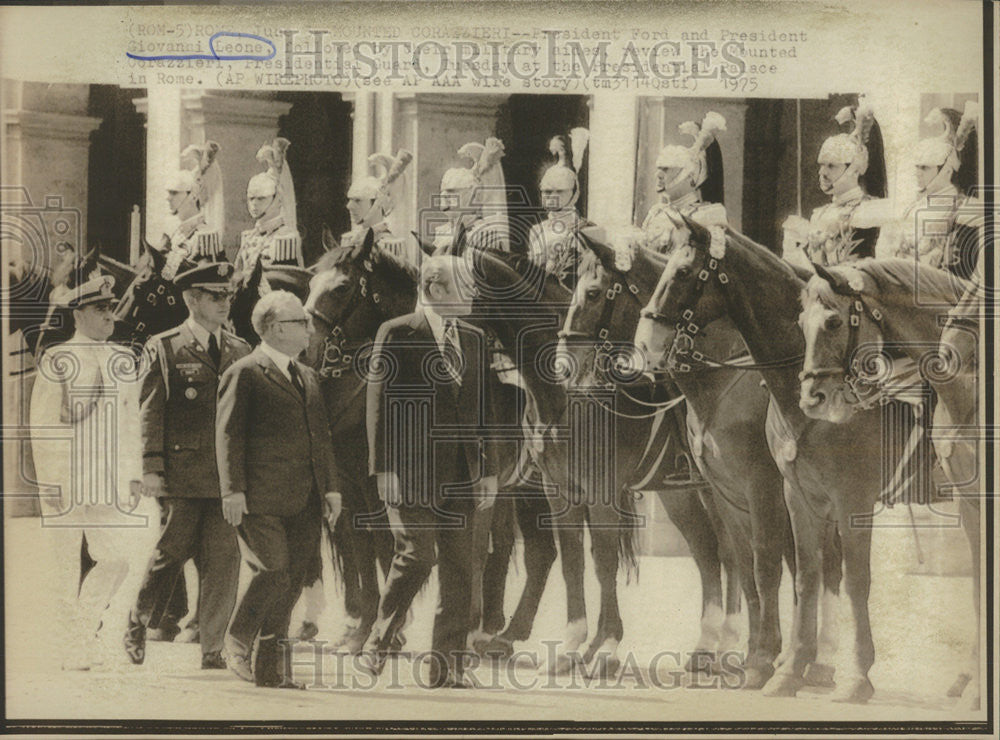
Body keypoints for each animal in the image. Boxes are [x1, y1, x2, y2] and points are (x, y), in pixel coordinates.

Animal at [636, 217, 904, 704]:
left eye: (682, 272)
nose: (645, 347)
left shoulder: (783, 492)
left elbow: (769, 567)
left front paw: (766, 660)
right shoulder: (735, 496)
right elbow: (750, 569)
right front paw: (764, 657)